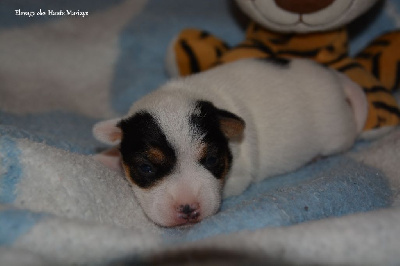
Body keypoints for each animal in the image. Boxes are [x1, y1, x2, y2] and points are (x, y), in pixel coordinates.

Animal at [92, 58, 368, 227]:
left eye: (212, 160)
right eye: (146, 168)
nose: (188, 209)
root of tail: (336, 78)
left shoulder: (239, 176)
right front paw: (106, 156)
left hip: (337, 134)